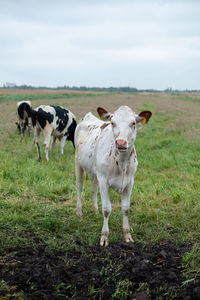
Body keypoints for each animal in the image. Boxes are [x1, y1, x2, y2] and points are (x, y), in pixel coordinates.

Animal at [75, 105, 152, 246]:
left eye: (133, 123)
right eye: (112, 123)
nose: (121, 143)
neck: (121, 163)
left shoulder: (129, 182)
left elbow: (126, 208)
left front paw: (127, 235)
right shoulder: (104, 182)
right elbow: (107, 209)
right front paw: (104, 237)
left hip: (95, 173)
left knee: (93, 189)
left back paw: (95, 211)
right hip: (78, 163)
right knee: (79, 187)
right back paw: (79, 212)